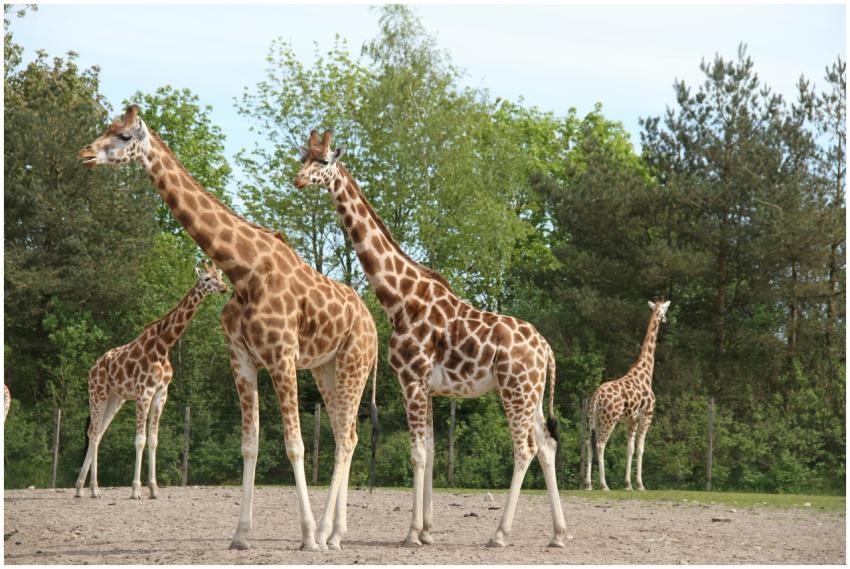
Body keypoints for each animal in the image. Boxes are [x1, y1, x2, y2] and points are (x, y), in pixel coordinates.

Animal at [75, 263, 229, 500]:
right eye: (206, 279)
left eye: (219, 275)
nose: (224, 287)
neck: (164, 346)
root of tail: (93, 367)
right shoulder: (143, 393)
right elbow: (140, 440)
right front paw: (136, 490)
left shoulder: (160, 394)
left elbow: (154, 440)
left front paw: (154, 489)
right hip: (97, 393)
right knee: (92, 432)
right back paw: (94, 489)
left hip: (115, 398)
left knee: (98, 433)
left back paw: (82, 488)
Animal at [294, 130, 568, 548]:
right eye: (303, 157)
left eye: (324, 162)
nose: (298, 180)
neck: (399, 298)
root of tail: (546, 349)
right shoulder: (428, 386)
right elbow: (433, 454)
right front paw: (426, 531)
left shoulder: (411, 379)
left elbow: (417, 455)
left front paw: (411, 534)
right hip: (532, 392)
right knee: (548, 446)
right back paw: (558, 534)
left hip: (514, 389)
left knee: (525, 449)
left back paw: (499, 534)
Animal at [582, 299, 670, 492]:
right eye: (665, 309)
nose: (665, 319)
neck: (646, 372)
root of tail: (596, 397)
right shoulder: (646, 416)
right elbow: (640, 448)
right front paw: (640, 484)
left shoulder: (632, 420)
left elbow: (629, 448)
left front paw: (628, 484)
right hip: (610, 419)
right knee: (600, 444)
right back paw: (604, 484)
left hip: (593, 419)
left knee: (588, 444)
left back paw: (588, 484)